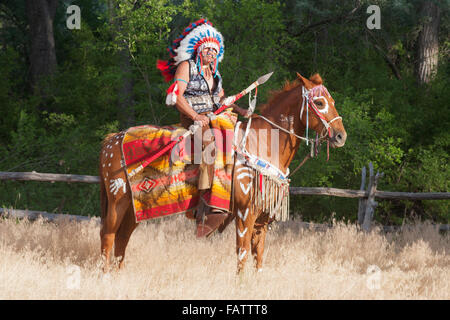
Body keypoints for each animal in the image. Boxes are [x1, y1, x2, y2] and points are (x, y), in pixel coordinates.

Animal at [98, 72, 344, 272]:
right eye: (319, 102)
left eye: (332, 101)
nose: (341, 135)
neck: (262, 144)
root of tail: (112, 140)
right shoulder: (245, 214)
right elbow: (242, 255)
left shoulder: (262, 219)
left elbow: (258, 256)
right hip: (118, 202)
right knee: (108, 236)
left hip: (135, 208)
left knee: (122, 239)